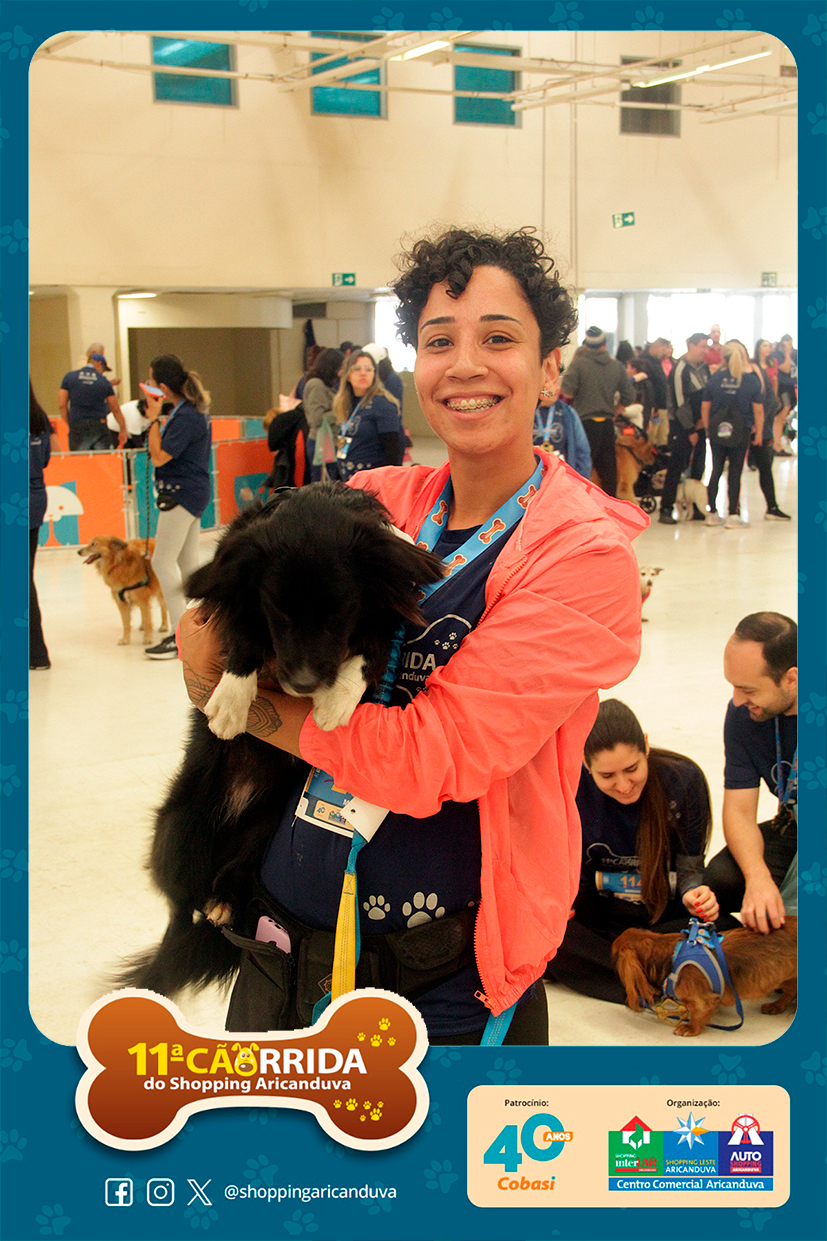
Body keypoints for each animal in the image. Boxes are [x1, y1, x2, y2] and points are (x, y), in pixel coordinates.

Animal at [115, 483, 445, 998]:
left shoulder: (386, 612)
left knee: (227, 881)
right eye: (277, 612)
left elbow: (371, 648)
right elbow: (244, 633)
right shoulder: (237, 597)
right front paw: (232, 700)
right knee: (178, 909)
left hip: (262, 831)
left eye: (341, 612)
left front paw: (338, 699)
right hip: (177, 831)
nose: (306, 683)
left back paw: (225, 902)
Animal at [612, 919, 797, 1037]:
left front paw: (690, 1028)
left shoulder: (701, 999)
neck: (671, 955)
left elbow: (698, 1012)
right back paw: (776, 1006)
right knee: (790, 993)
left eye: (614, 954)